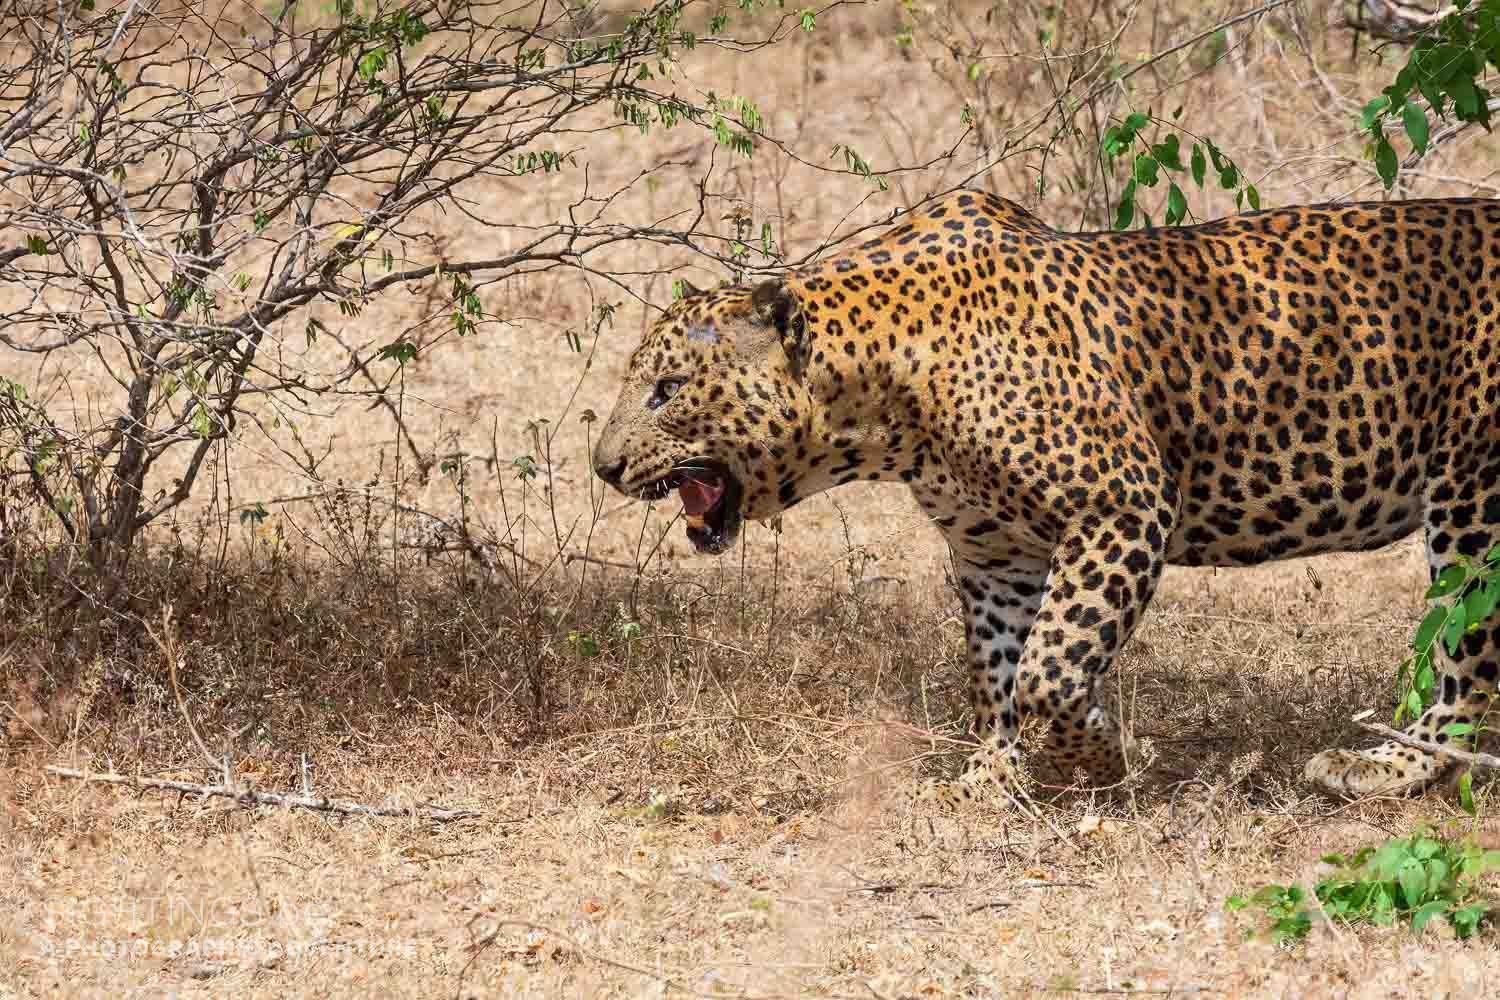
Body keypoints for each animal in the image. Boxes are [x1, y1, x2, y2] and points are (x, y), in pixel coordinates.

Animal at [590, 189, 1500, 803]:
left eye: (667, 390)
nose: (602, 467)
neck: (883, 399)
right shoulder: (995, 554)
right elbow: (997, 667)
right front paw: (993, 774)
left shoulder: (1122, 505)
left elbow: (1051, 666)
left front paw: (1093, 756)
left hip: (1472, 496)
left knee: (1468, 663)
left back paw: (1388, 766)